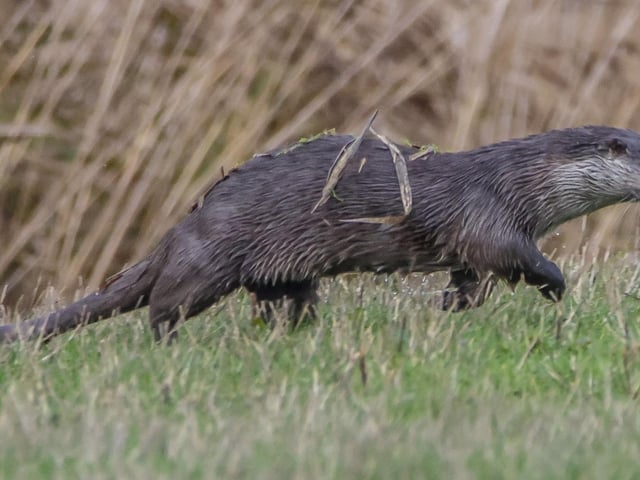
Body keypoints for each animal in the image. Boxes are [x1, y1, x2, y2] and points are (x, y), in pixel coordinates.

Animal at [1, 125, 639, 343]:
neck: (519, 182)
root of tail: (178, 230)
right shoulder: (488, 217)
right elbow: (516, 257)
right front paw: (556, 285)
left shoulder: (476, 241)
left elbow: (471, 279)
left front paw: (447, 307)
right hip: (207, 262)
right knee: (162, 306)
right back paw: (169, 344)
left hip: (285, 268)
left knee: (283, 299)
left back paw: (298, 331)